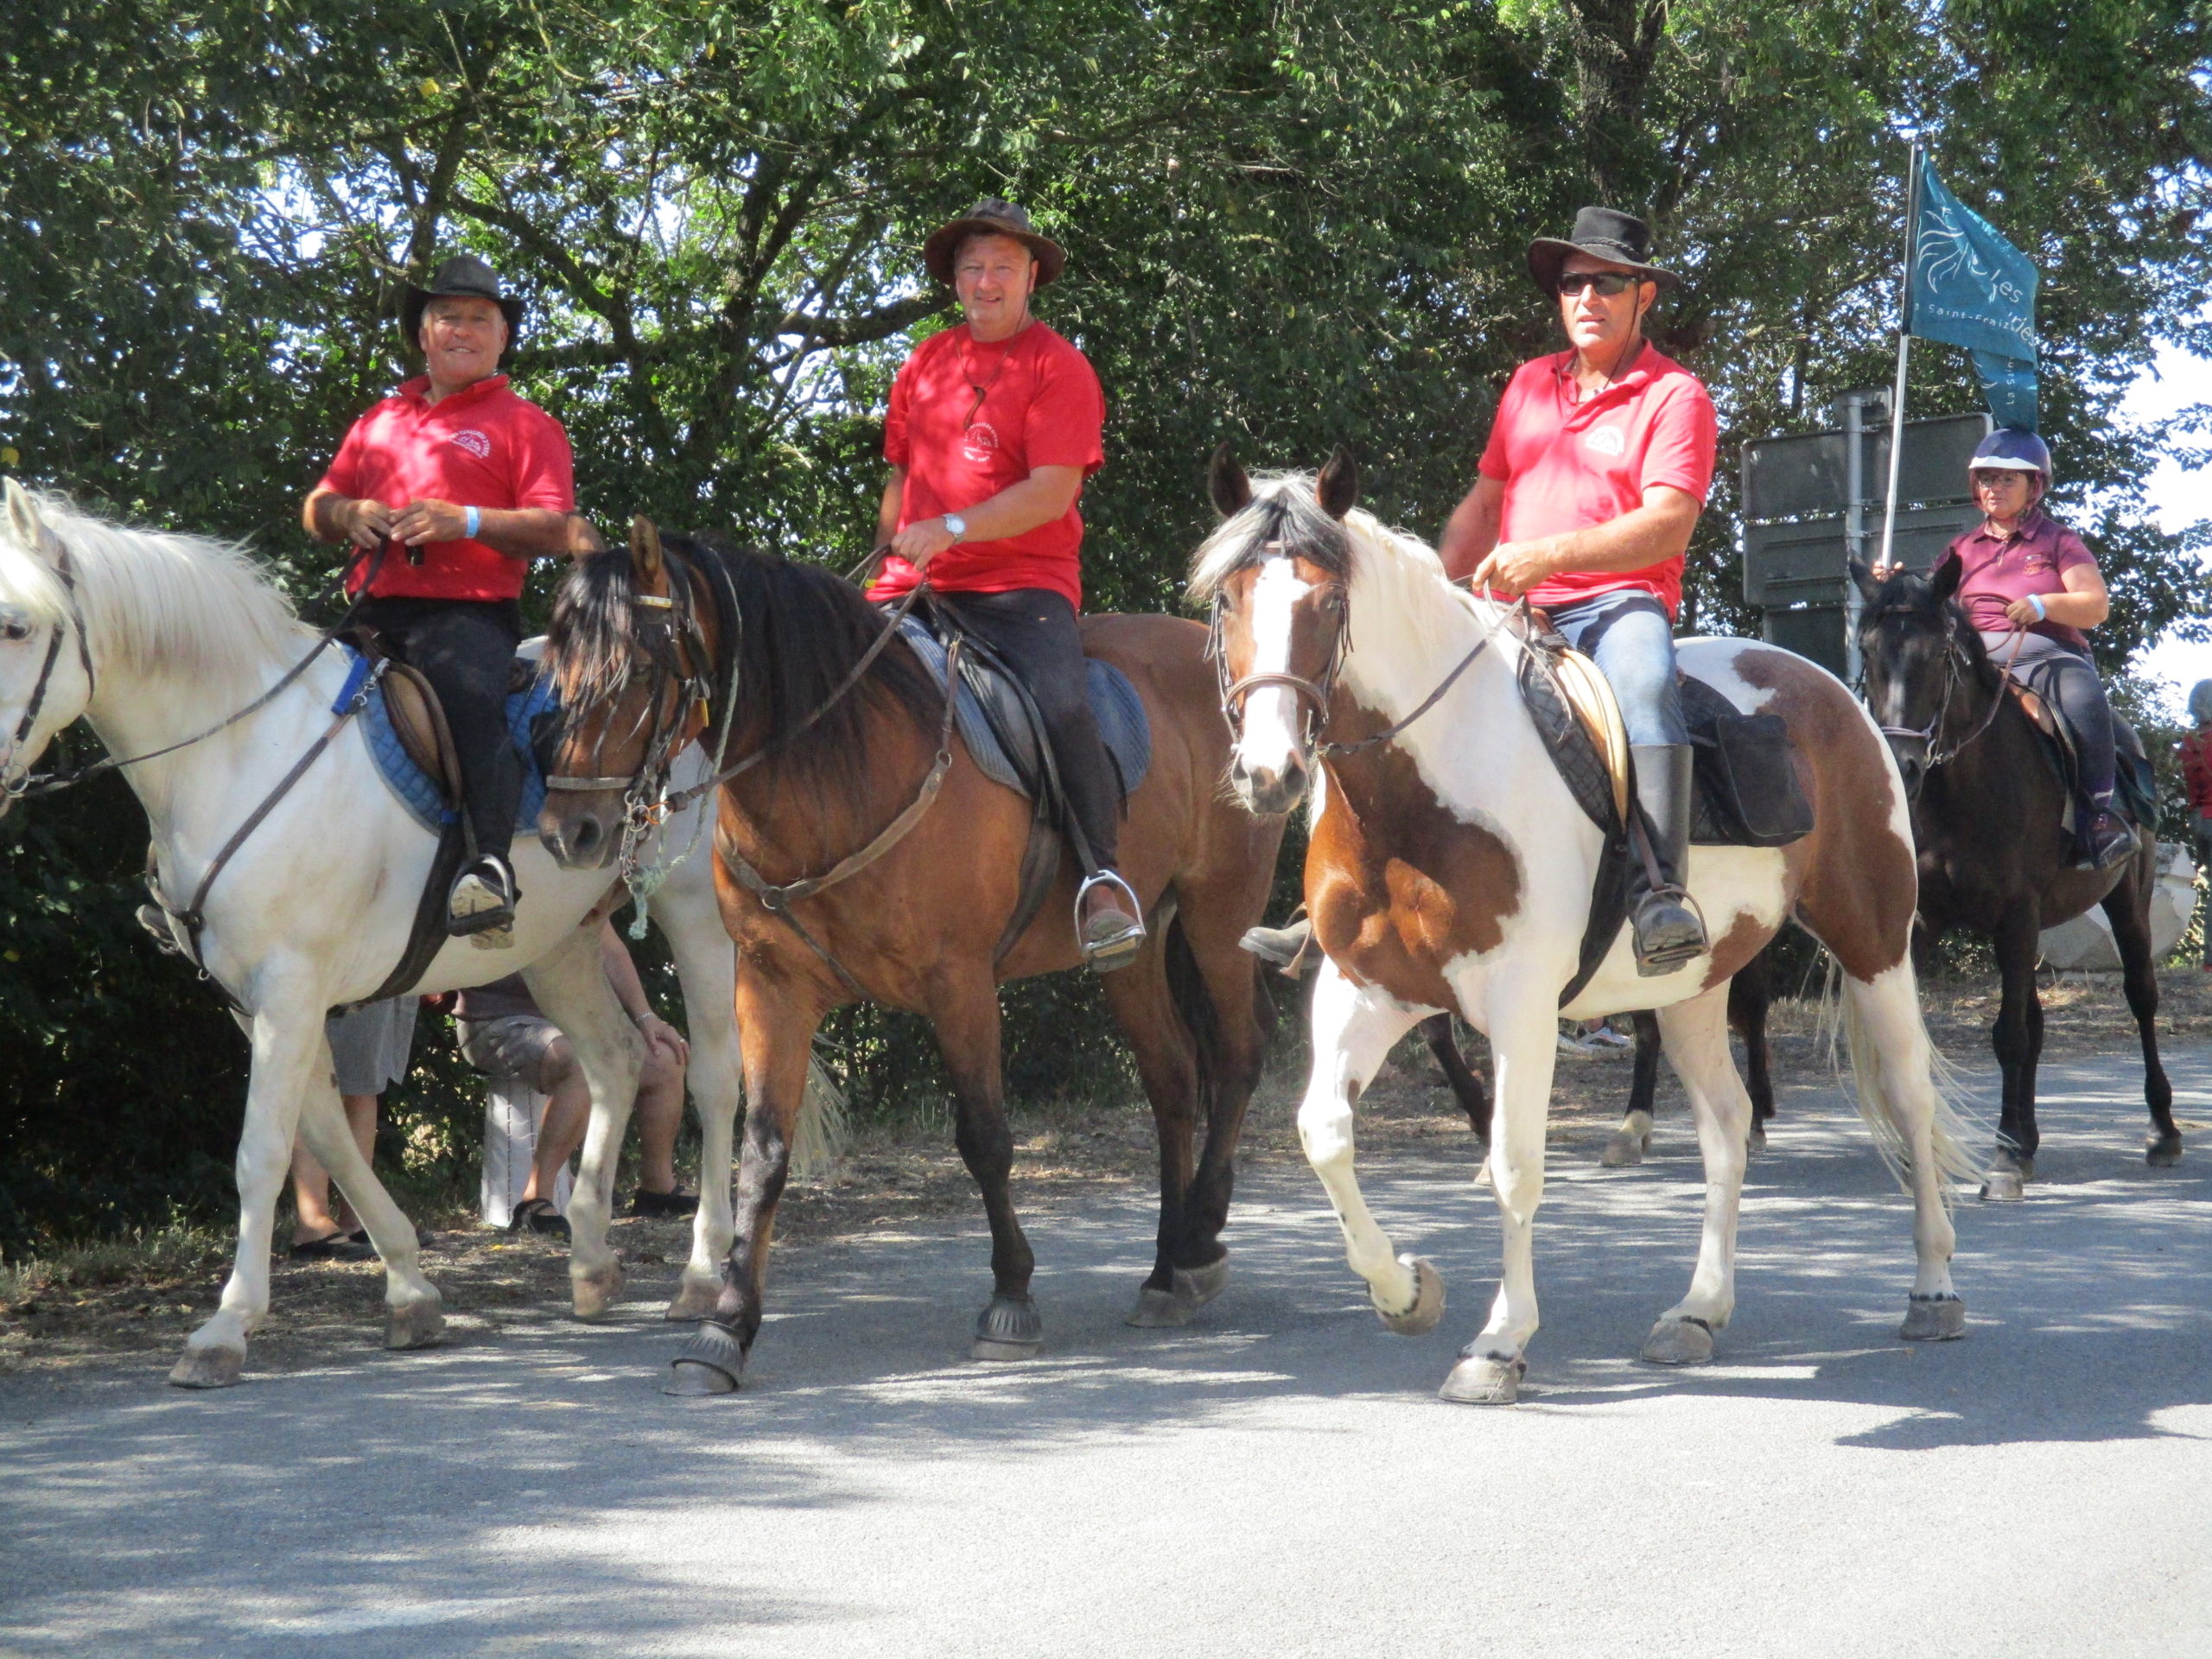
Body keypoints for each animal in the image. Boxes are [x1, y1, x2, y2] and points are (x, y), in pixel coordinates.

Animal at [537, 526, 1292, 1397]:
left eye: (636, 670)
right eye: (557, 671)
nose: (568, 833)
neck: (837, 770)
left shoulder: (958, 983)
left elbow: (986, 1139)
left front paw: (1010, 1300)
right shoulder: (771, 988)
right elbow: (763, 1155)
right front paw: (724, 1328)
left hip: (1219, 916)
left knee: (1236, 1058)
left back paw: (1198, 1240)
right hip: (1135, 952)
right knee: (1171, 1077)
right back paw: (1168, 1270)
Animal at [1203, 451, 1981, 1407]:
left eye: (1328, 603)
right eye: (1228, 600)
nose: (1268, 774)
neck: (1420, 794)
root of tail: (1834, 692)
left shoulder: (1522, 1008)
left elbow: (1513, 1163)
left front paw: (1498, 1343)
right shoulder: (1367, 993)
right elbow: (1324, 1134)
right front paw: (1404, 1291)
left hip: (1874, 943)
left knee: (1908, 1099)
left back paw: (1933, 1287)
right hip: (1691, 989)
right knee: (1727, 1126)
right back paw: (1698, 1311)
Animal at [1849, 559, 2177, 1194]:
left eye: (1938, 653)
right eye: (1869, 650)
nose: (1902, 766)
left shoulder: (2016, 913)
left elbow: (2008, 1036)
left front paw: (2001, 1163)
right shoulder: (1923, 923)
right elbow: (1927, 1035)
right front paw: (1922, 1154)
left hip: (2127, 901)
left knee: (2141, 998)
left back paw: (2162, 1131)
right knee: (2037, 1021)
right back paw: (2027, 1139)